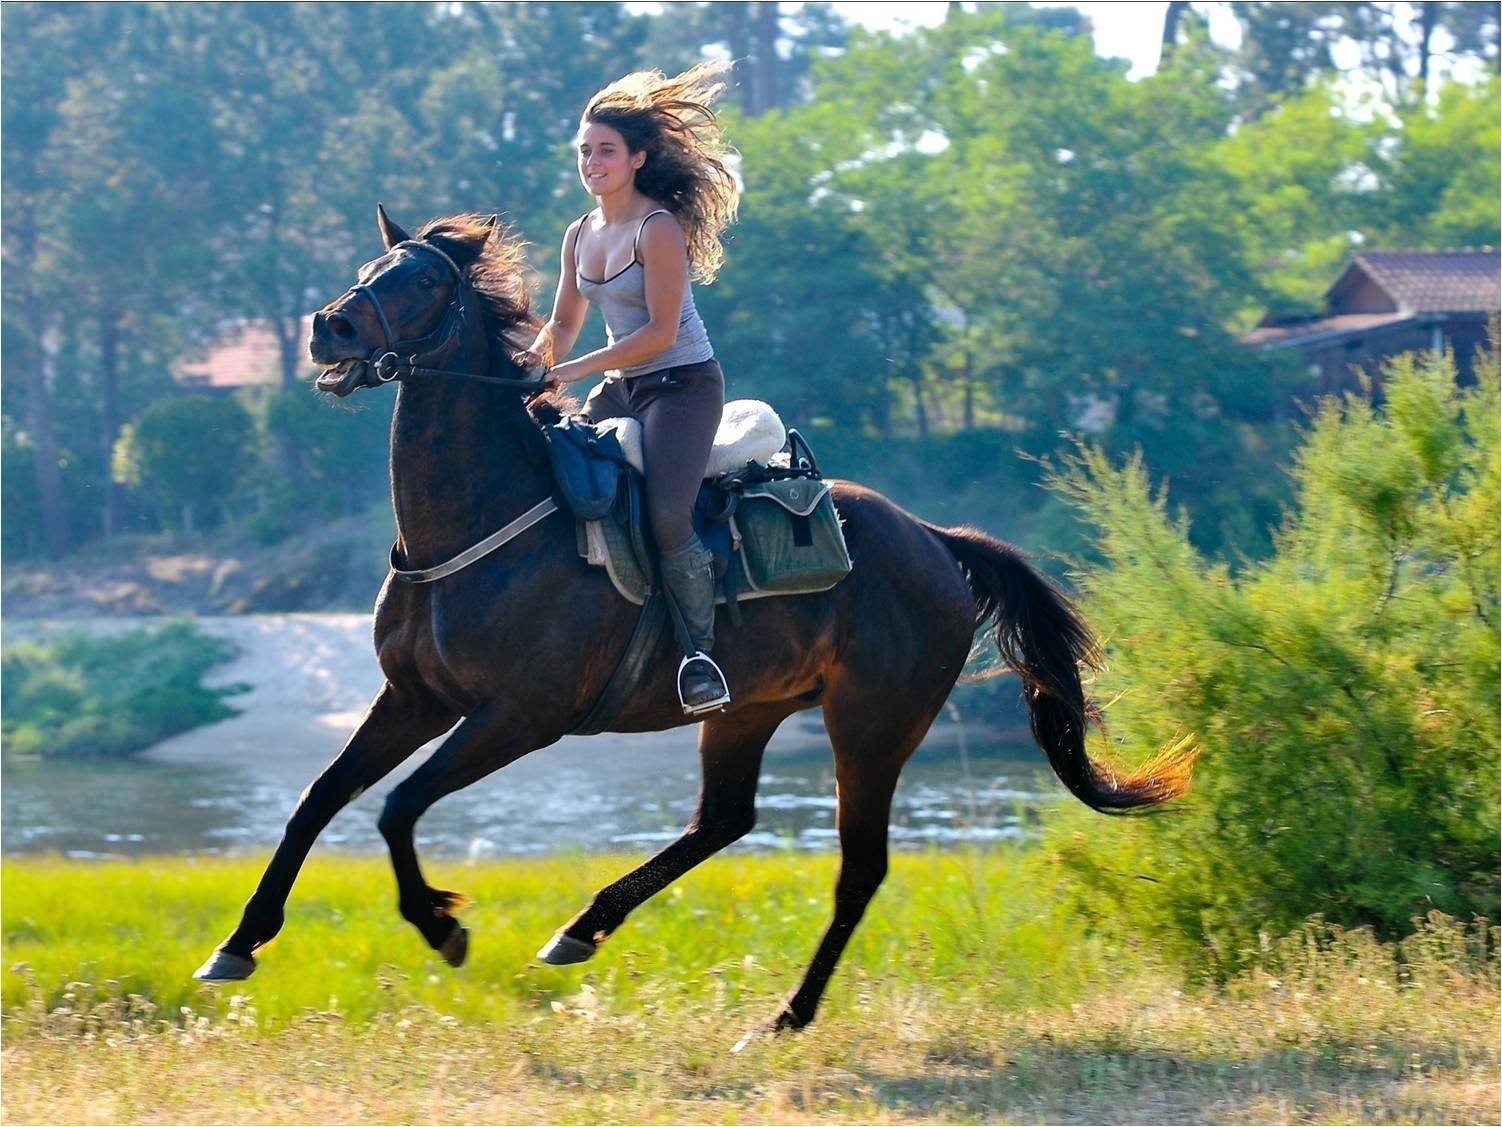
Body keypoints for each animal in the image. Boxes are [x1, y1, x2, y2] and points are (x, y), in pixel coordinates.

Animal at [193, 210, 1189, 1039]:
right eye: (370, 268)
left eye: (420, 283)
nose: (329, 327)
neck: (482, 518)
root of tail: (936, 540)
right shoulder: (413, 697)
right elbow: (318, 797)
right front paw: (238, 942)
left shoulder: (519, 715)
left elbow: (397, 804)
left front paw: (442, 927)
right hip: (748, 708)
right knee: (724, 818)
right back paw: (583, 927)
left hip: (872, 723)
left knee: (856, 868)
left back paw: (784, 1015)